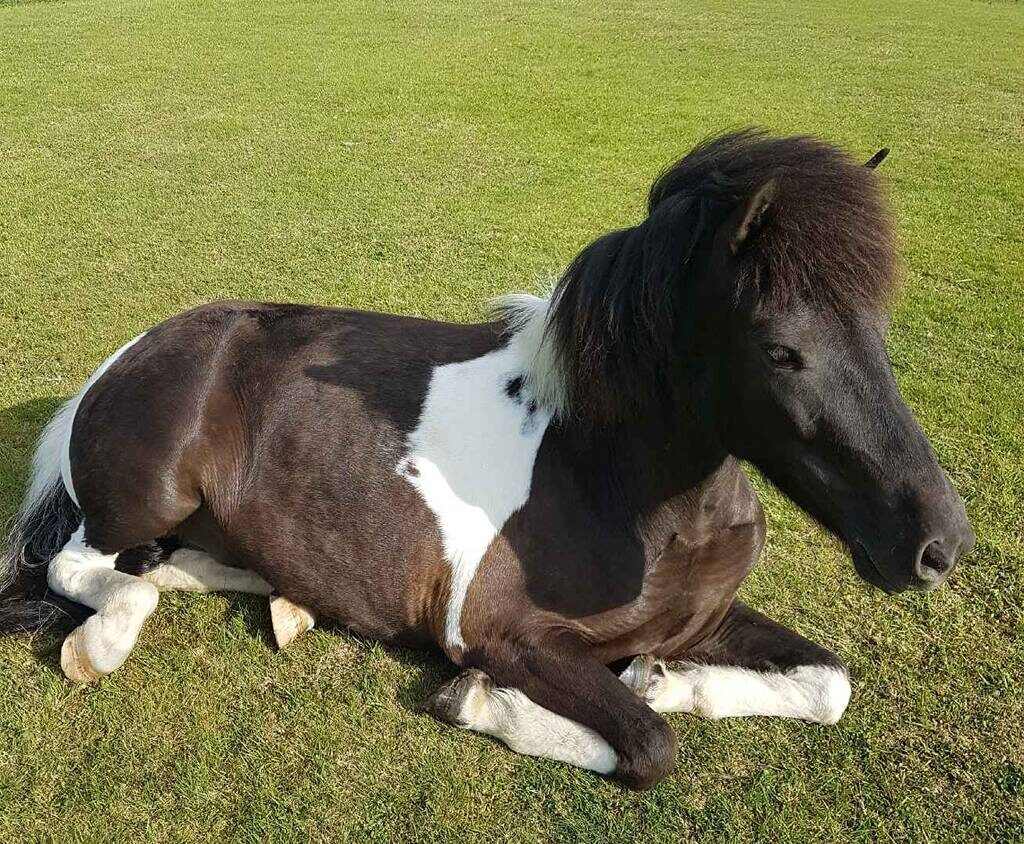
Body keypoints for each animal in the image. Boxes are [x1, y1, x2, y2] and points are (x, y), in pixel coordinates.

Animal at [2, 128, 974, 786]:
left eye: (878, 326)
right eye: (782, 351)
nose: (941, 545)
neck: (614, 487)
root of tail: (124, 358)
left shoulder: (705, 619)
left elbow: (827, 683)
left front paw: (666, 681)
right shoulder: (502, 633)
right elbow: (649, 749)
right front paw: (484, 703)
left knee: (173, 565)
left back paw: (285, 603)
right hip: (151, 493)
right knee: (84, 567)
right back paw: (101, 643)